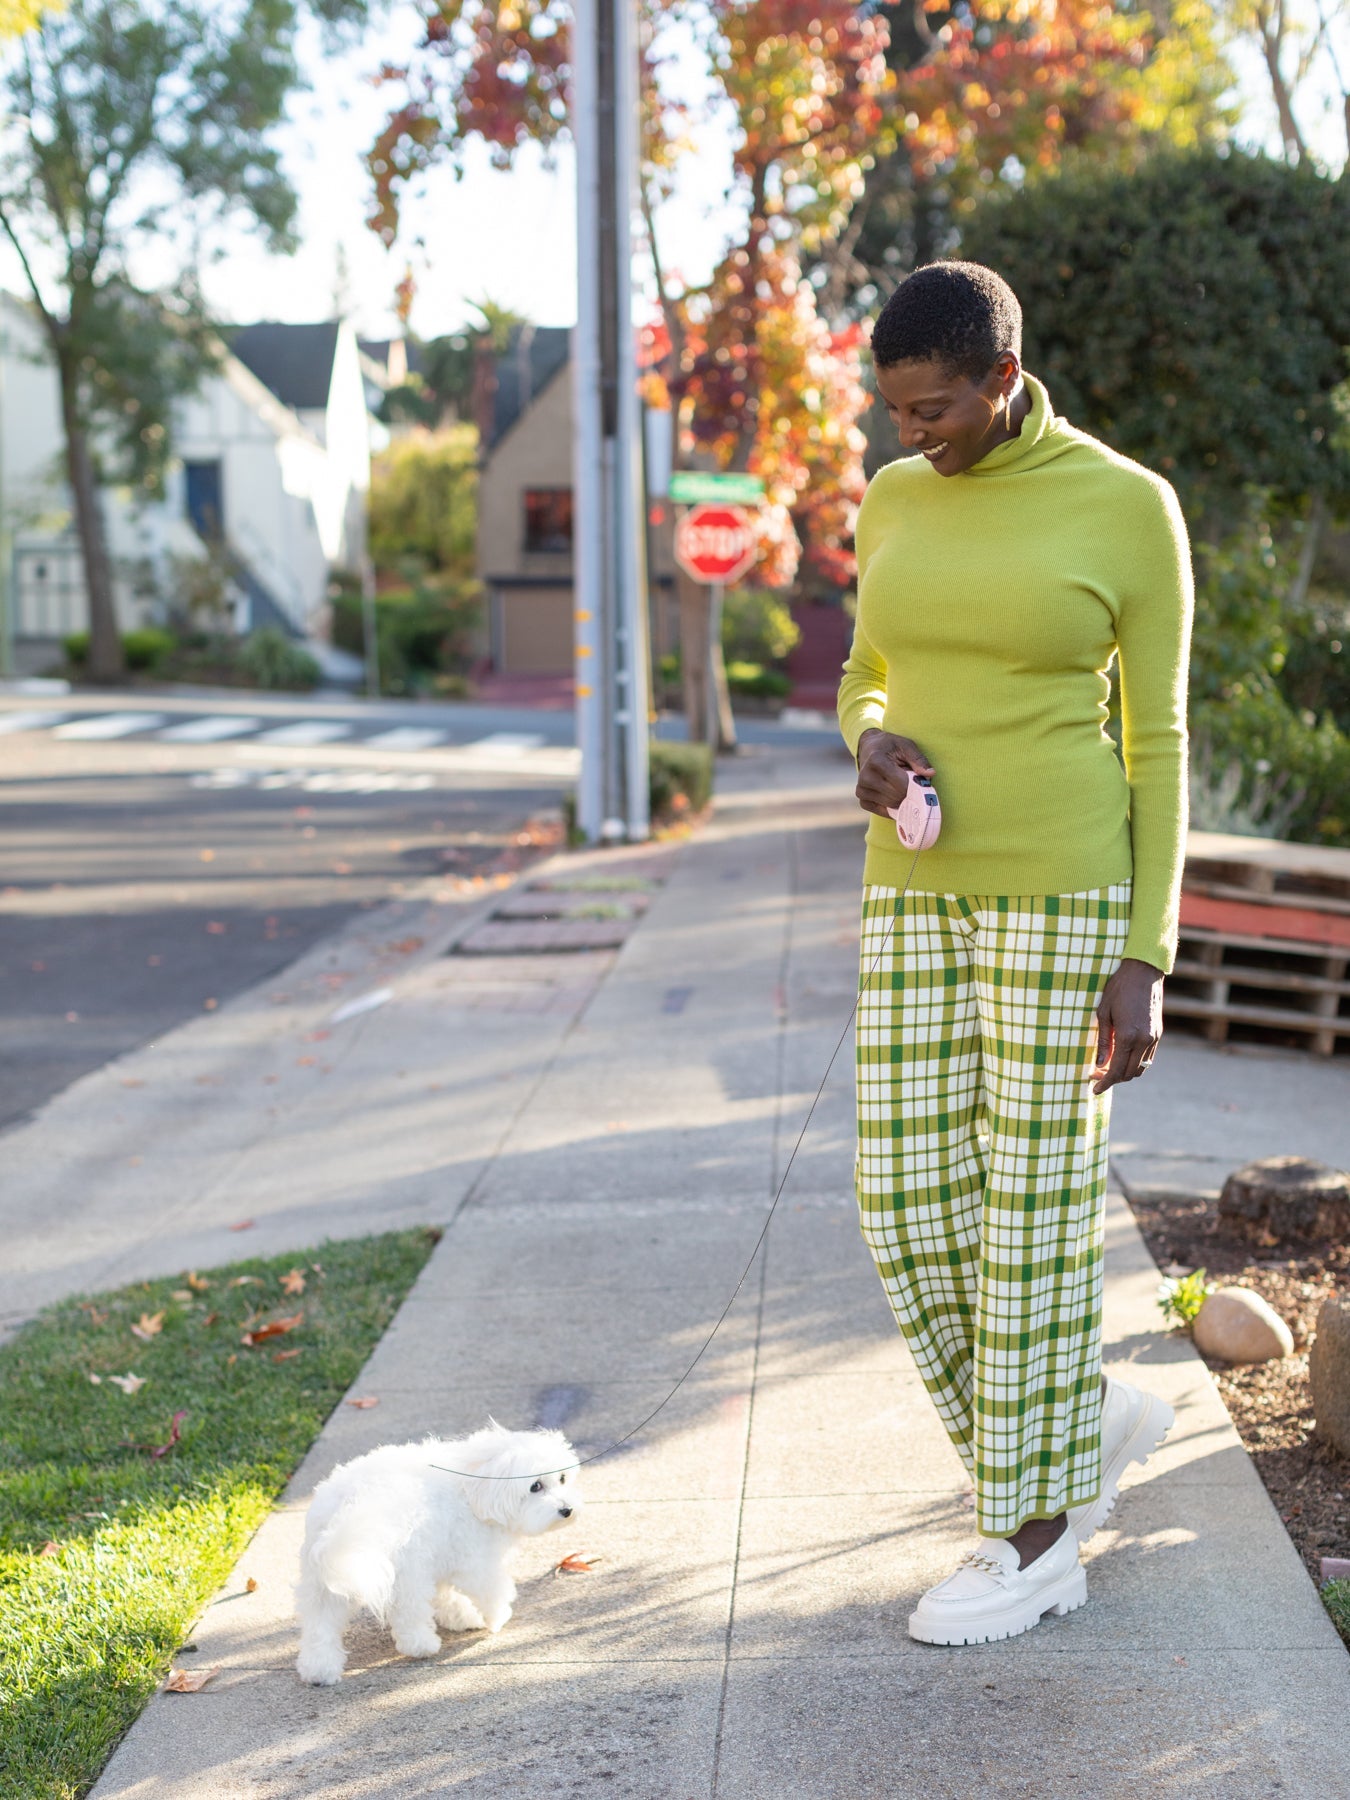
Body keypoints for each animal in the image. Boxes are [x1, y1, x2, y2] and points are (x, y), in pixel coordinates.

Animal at [297, 1418, 583, 1684]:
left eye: (562, 1478)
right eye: (535, 1486)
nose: (567, 1509)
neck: (473, 1486)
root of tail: (349, 1505)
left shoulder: (442, 1558)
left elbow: (447, 1597)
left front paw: (462, 1617)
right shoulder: (475, 1563)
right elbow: (492, 1591)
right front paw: (497, 1617)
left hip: (325, 1581)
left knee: (319, 1625)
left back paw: (319, 1669)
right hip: (406, 1574)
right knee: (408, 1614)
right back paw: (422, 1645)